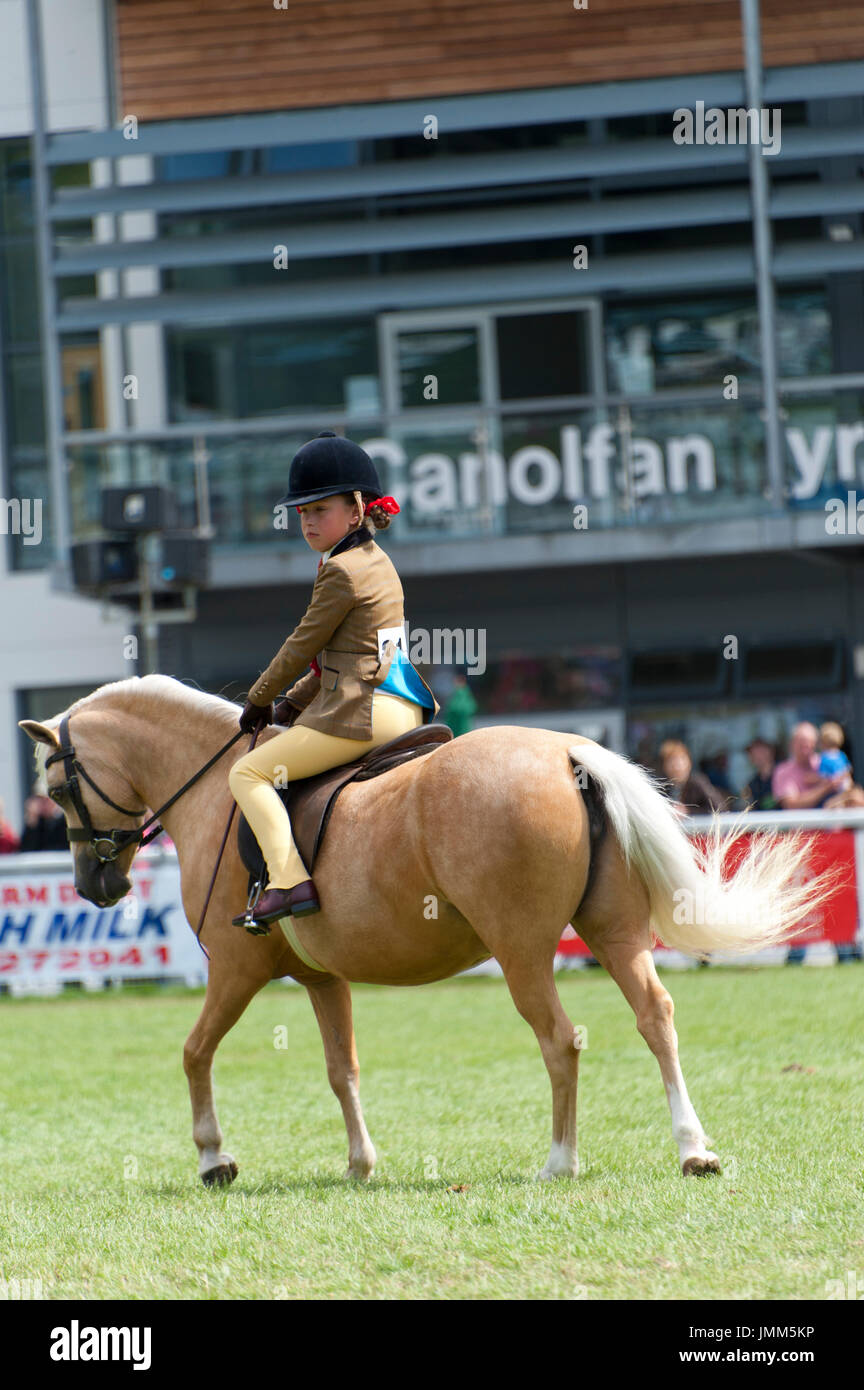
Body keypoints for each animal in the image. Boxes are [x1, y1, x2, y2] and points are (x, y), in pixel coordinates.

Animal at [18, 672, 827, 1184]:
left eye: (56, 788)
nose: (96, 886)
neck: (218, 793)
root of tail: (566, 750)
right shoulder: (322, 979)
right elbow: (341, 1068)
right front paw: (359, 1164)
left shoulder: (235, 968)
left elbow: (193, 1053)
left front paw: (214, 1159)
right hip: (614, 934)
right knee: (655, 1018)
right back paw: (694, 1150)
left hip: (523, 951)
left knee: (559, 1040)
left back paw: (560, 1161)